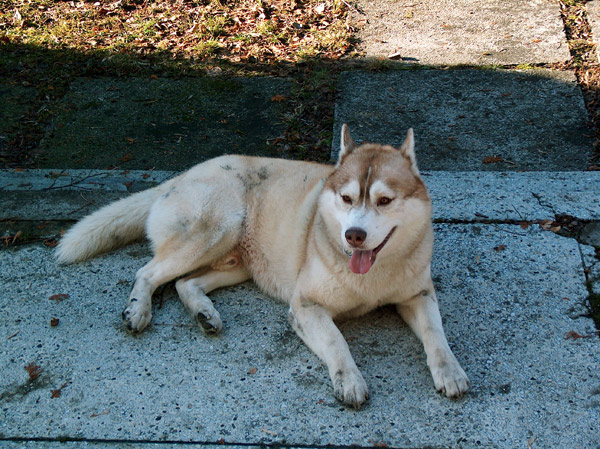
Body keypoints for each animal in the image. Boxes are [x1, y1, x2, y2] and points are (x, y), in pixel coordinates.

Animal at [56, 124, 469, 408]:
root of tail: (180, 174)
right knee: (148, 272)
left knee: (185, 283)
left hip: (237, 261)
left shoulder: (418, 295)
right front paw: (349, 380)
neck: (372, 276)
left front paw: (449, 370)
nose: (353, 235)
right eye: (347, 198)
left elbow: (435, 334)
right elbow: (337, 342)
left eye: (384, 201)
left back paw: (204, 313)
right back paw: (138, 310)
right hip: (217, 228)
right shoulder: (306, 306)